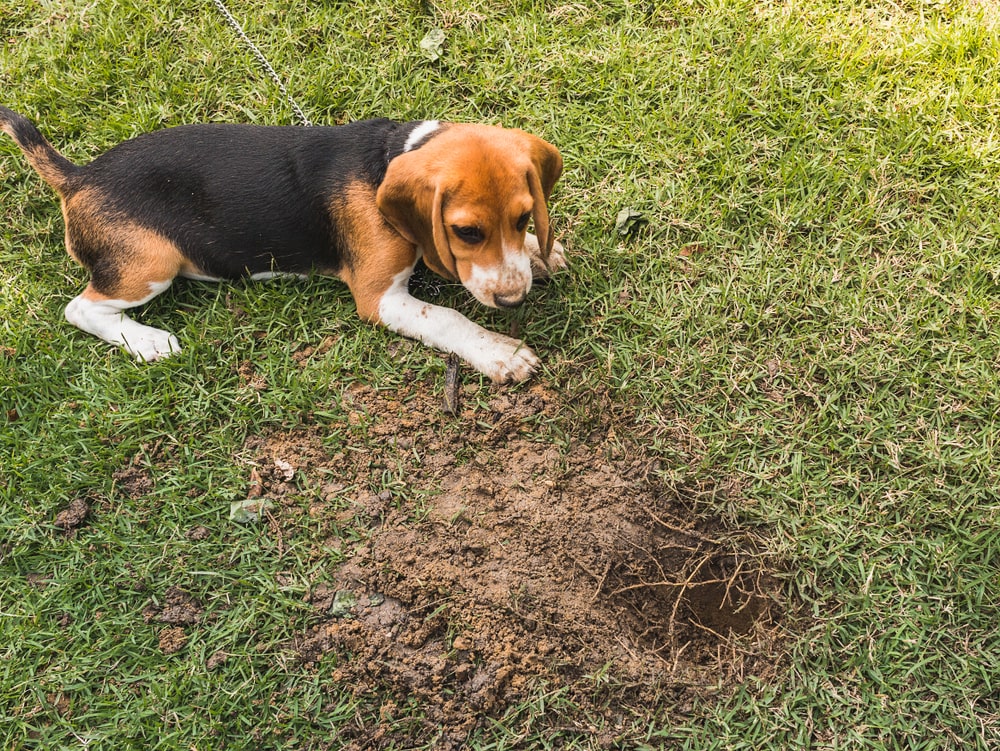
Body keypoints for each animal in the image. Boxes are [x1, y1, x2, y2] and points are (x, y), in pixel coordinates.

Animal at [0, 106, 564, 382]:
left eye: (521, 217)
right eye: (467, 232)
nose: (514, 299)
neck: (386, 158)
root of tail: (79, 177)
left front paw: (543, 250)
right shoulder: (379, 297)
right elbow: (448, 318)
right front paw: (501, 352)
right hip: (151, 262)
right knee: (81, 308)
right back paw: (147, 341)